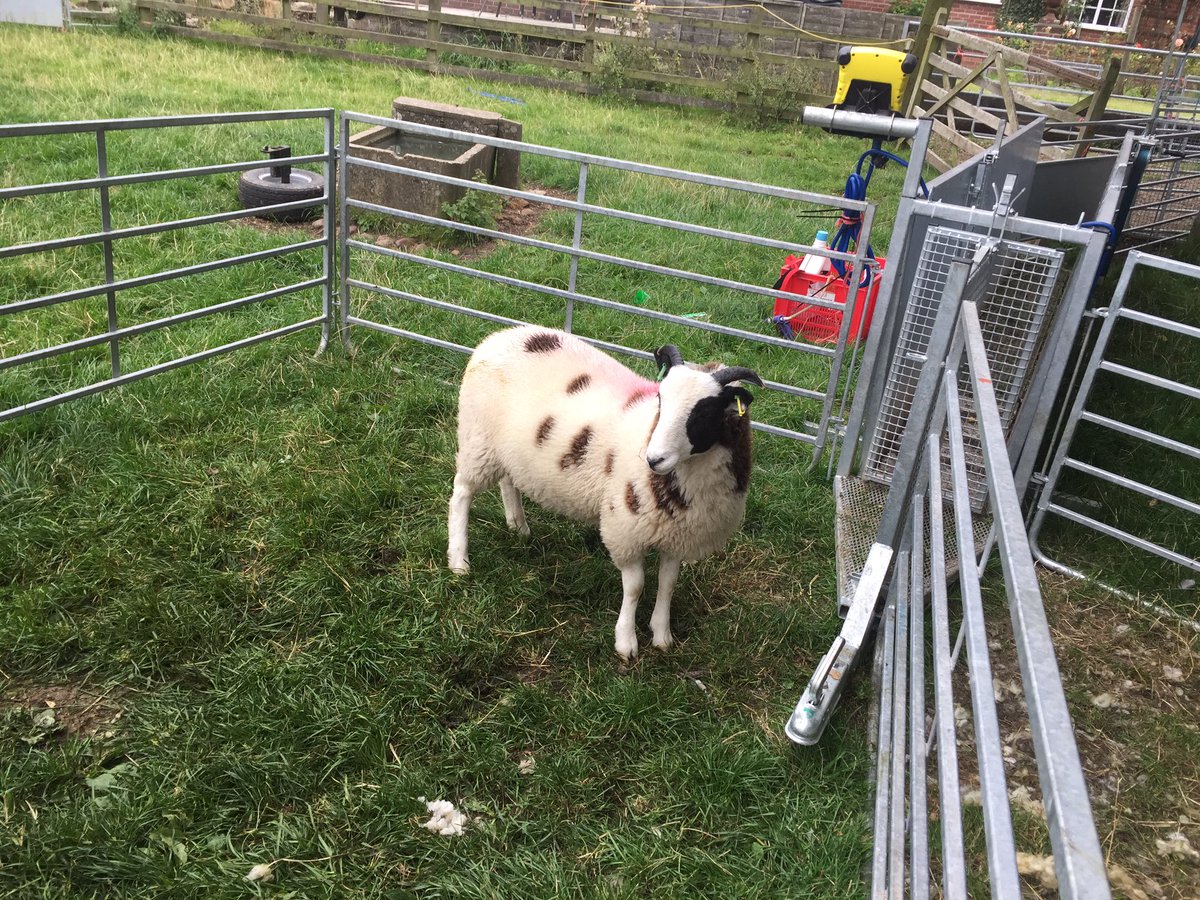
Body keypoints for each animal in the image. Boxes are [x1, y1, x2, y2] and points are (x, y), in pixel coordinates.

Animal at [447, 325, 763, 659]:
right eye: (661, 401)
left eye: (704, 412)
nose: (653, 459)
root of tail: (501, 335)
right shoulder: (624, 527)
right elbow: (635, 586)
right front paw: (626, 642)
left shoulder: (678, 533)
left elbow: (667, 583)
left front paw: (662, 635)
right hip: (478, 438)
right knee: (461, 493)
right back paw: (459, 560)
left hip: (507, 449)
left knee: (508, 481)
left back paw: (518, 526)